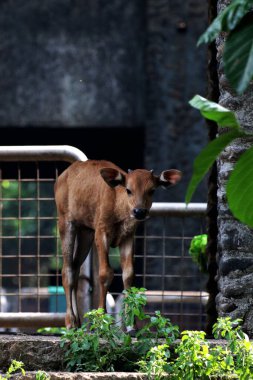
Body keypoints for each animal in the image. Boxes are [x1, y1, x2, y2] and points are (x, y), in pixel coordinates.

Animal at [54, 159, 181, 328]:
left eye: (152, 190)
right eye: (128, 190)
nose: (139, 211)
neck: (119, 210)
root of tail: (62, 177)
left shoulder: (128, 236)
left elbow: (129, 275)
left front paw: (131, 325)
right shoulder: (101, 231)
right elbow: (105, 273)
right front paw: (101, 319)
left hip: (85, 231)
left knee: (75, 269)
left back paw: (78, 322)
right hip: (66, 222)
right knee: (66, 270)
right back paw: (70, 321)